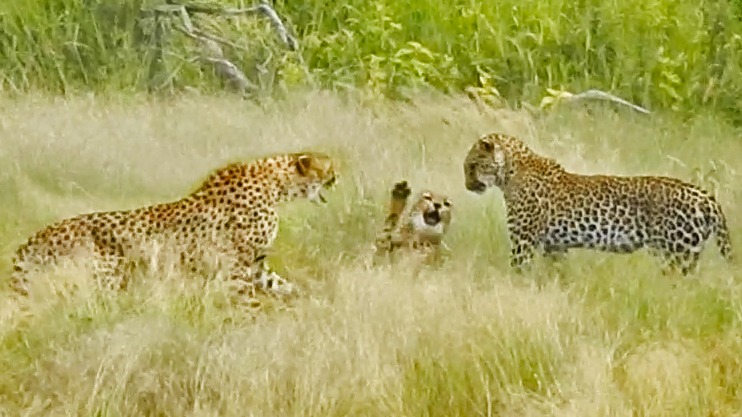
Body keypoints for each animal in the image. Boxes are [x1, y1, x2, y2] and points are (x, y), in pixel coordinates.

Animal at [10, 151, 338, 302]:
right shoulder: (237, 267)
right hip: (104, 279)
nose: (338, 177)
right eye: (329, 167)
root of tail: (37, 235)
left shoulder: (255, 265)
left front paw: (310, 299)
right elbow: (247, 300)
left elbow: (281, 284)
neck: (276, 183)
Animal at [463, 132, 733, 275]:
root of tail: (706, 197)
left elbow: (518, 270)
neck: (510, 172)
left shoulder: (523, 243)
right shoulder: (554, 246)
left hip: (677, 254)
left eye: (472, 165)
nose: (467, 186)